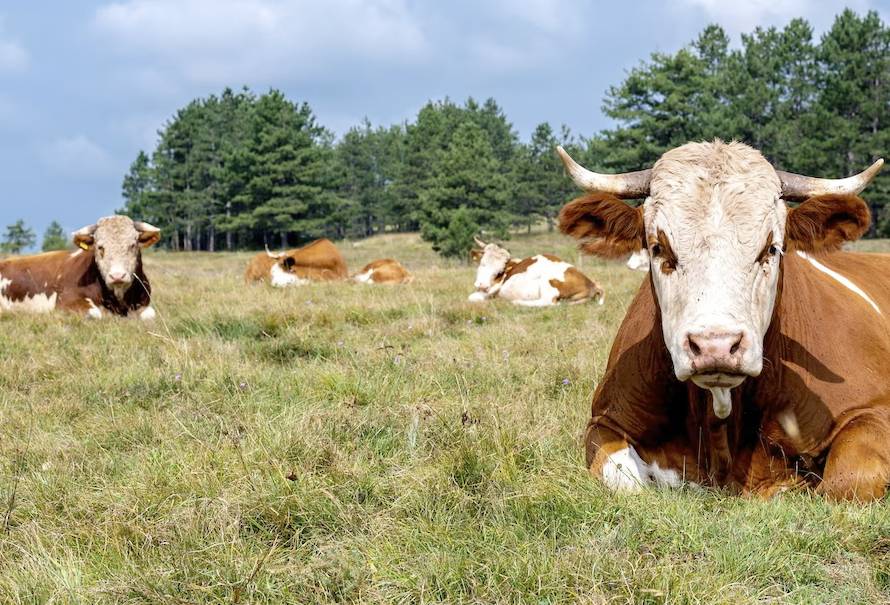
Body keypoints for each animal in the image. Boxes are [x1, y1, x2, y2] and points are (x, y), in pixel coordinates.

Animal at [0, 215, 158, 318]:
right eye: (100, 247)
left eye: (133, 245)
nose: (117, 276)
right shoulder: (65, 303)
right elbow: (95, 313)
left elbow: (150, 315)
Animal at [464, 237, 604, 306]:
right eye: (482, 263)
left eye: (499, 271)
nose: (482, 285)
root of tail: (592, 284)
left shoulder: (493, 290)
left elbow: (472, 297)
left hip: (548, 283)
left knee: (549, 302)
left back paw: (515, 302)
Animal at [552, 140, 884, 500]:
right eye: (658, 247)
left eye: (771, 248)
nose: (716, 346)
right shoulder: (605, 422)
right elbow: (624, 480)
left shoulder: (872, 412)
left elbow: (850, 480)